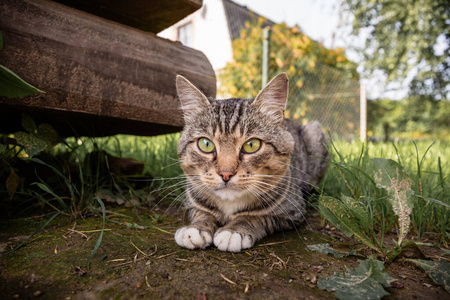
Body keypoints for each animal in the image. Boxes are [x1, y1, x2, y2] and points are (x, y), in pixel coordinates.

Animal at [175, 74, 326, 252]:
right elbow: (202, 212)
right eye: (205, 144)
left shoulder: (292, 210)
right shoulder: (191, 203)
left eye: (251, 145)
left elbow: (256, 216)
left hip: (314, 131)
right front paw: (197, 228)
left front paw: (234, 230)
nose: (225, 174)